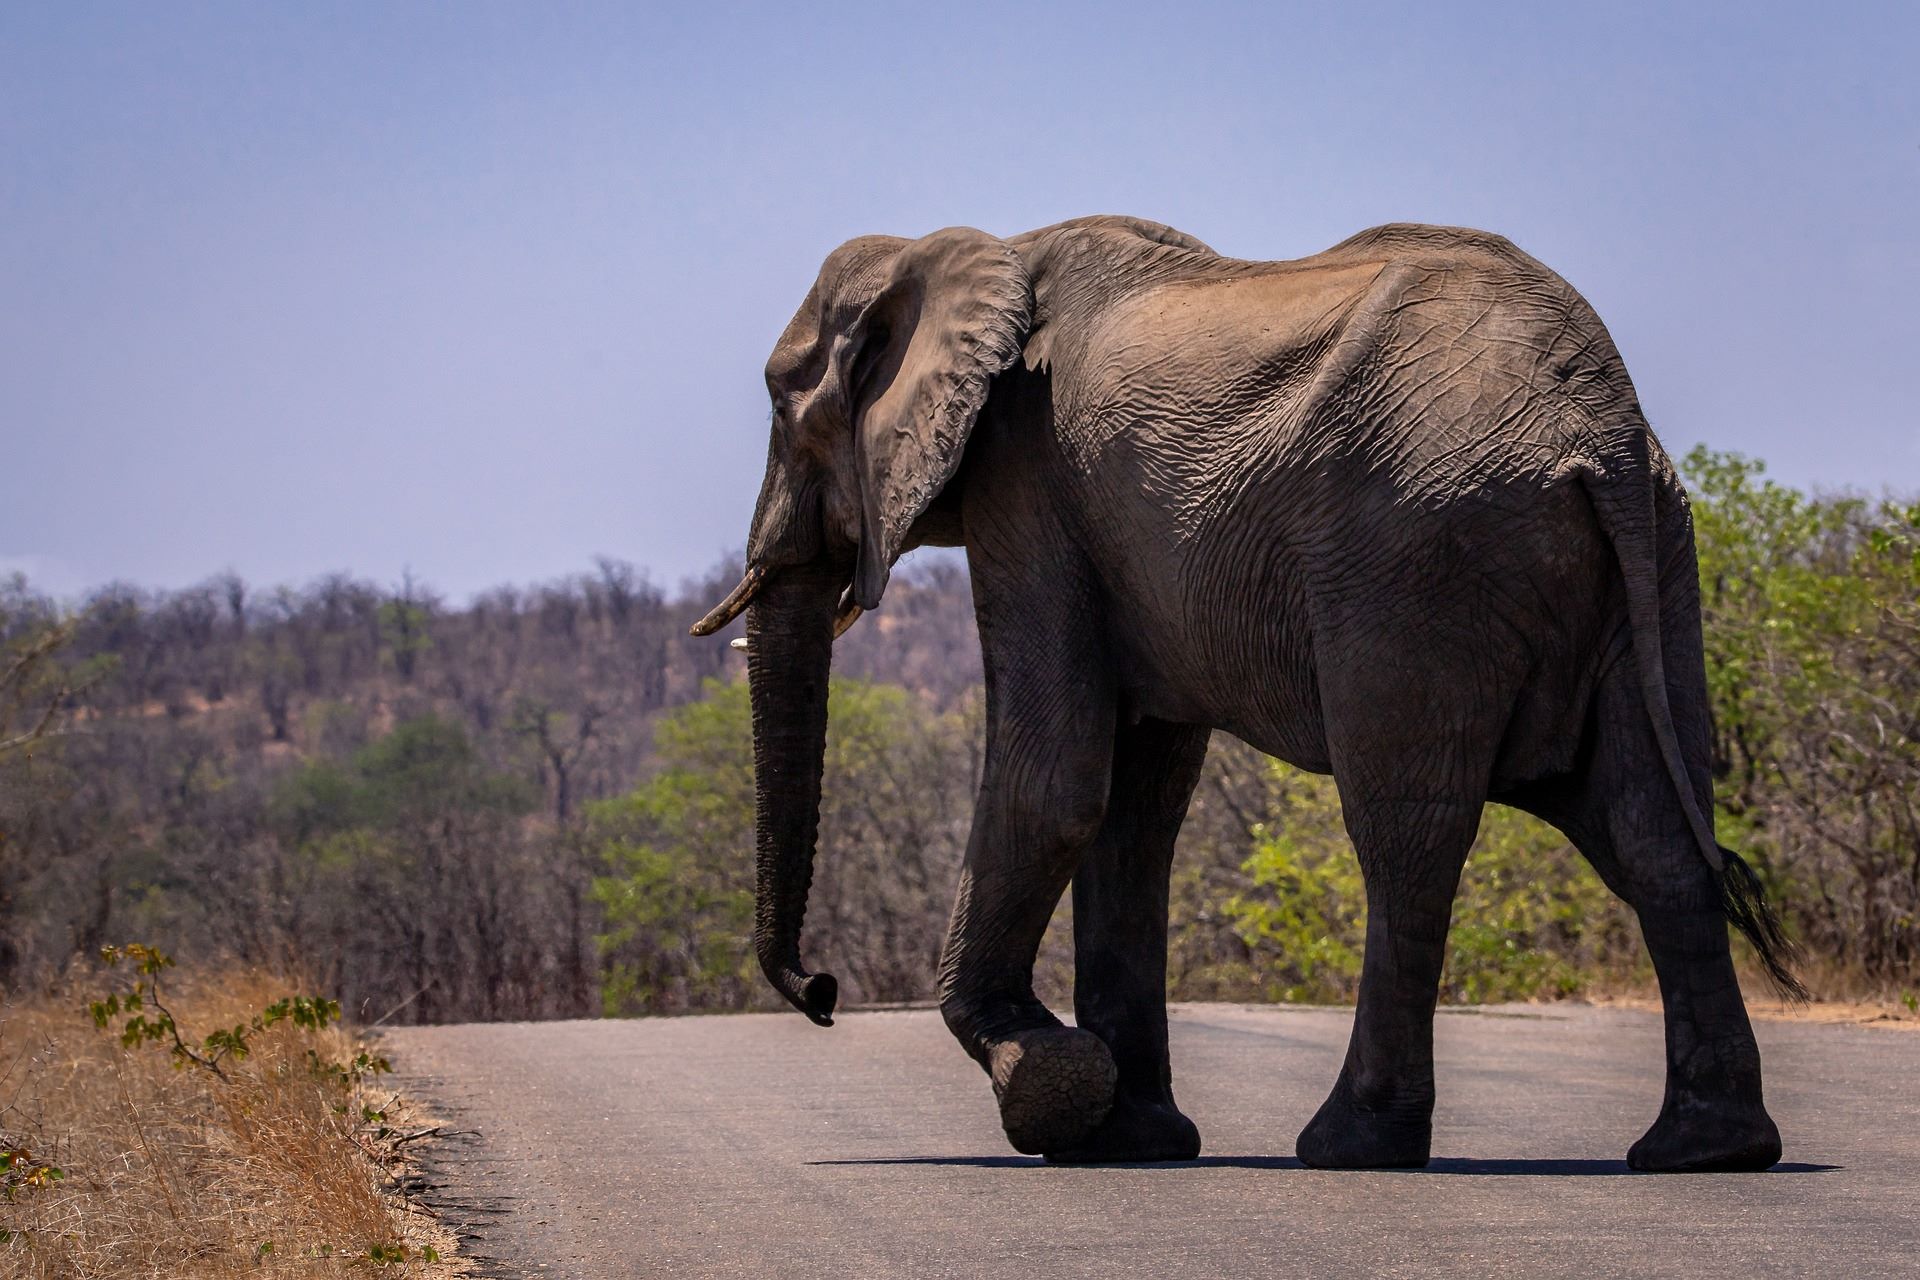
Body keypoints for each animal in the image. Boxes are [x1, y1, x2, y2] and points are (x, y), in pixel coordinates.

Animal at [695, 213, 1797, 1174]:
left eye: (782, 408)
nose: (823, 990)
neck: (971, 248)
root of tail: (1598, 420)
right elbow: (1132, 812)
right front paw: (1129, 1137)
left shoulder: (1028, 485)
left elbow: (1054, 785)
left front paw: (1046, 1084)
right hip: (1652, 561)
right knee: (1651, 832)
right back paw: (1707, 1150)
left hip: (1421, 565)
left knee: (1409, 840)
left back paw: (1349, 1147)